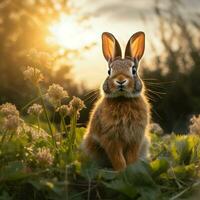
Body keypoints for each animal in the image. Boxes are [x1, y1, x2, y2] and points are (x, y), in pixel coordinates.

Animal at [81, 32, 150, 171]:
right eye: (109, 71)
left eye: (134, 70)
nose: (121, 81)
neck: (123, 99)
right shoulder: (110, 139)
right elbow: (117, 157)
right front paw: (122, 170)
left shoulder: (136, 138)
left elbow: (131, 156)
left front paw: (131, 170)